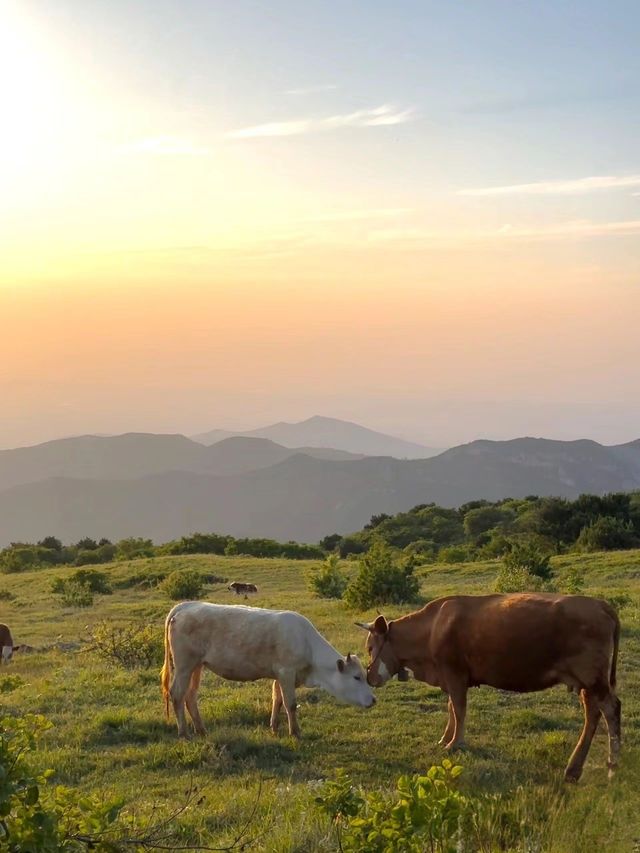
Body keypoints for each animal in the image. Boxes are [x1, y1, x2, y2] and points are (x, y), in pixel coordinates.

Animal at [159, 600, 376, 740]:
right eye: (357, 677)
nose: (374, 700)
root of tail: (187, 605)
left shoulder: (279, 675)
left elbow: (277, 700)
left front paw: (274, 727)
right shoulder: (287, 672)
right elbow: (290, 704)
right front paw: (295, 732)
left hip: (197, 666)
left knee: (190, 695)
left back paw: (201, 730)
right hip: (184, 665)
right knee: (177, 694)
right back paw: (184, 733)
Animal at [356, 592, 620, 780]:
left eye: (370, 647)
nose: (369, 678)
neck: (432, 628)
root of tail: (599, 604)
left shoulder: (454, 673)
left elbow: (458, 709)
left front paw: (454, 743)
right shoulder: (451, 678)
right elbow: (451, 708)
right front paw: (446, 738)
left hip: (593, 678)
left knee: (611, 709)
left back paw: (612, 767)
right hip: (587, 682)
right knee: (593, 713)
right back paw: (574, 769)